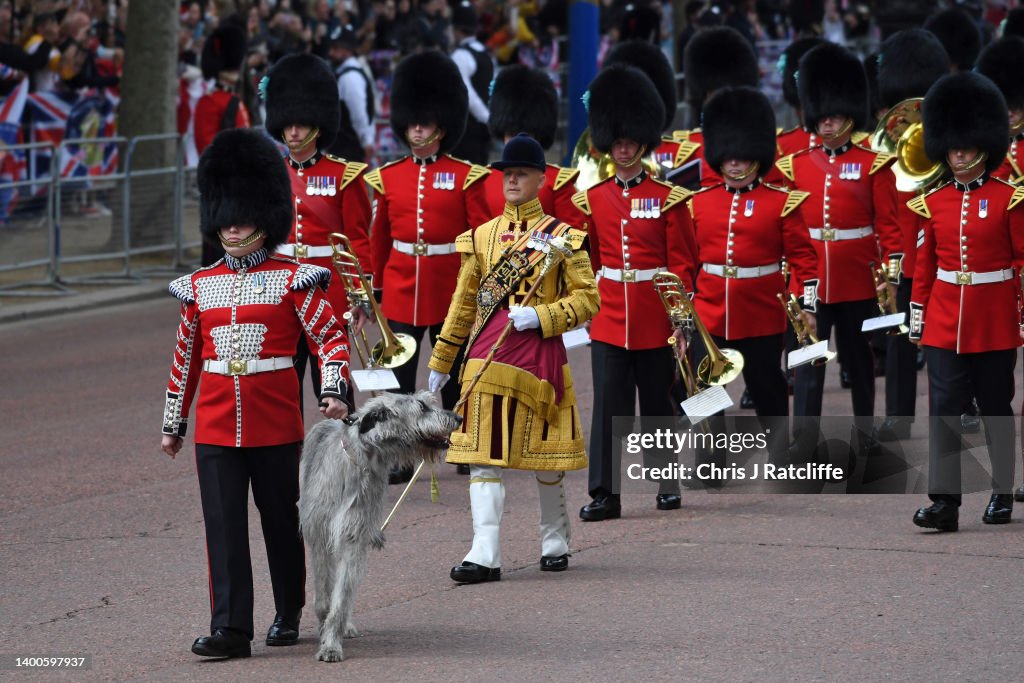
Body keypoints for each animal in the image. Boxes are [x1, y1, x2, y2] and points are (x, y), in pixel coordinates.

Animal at [299, 389, 462, 663]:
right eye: (422, 407)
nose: (458, 417)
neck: (361, 457)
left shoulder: (354, 535)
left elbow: (342, 597)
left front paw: (332, 641)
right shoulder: (319, 535)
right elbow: (324, 597)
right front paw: (325, 633)